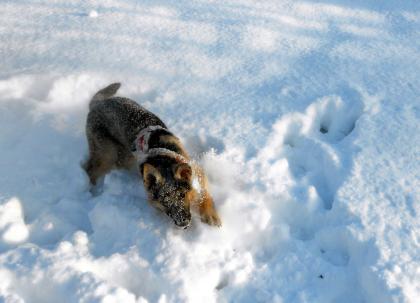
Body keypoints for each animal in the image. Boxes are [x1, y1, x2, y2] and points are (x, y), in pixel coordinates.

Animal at [83, 82, 221, 229]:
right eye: (165, 201)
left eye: (182, 195)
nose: (183, 223)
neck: (163, 160)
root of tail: (98, 103)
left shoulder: (196, 170)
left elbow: (205, 194)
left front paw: (210, 215)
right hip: (107, 153)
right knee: (90, 169)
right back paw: (91, 191)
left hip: (123, 154)